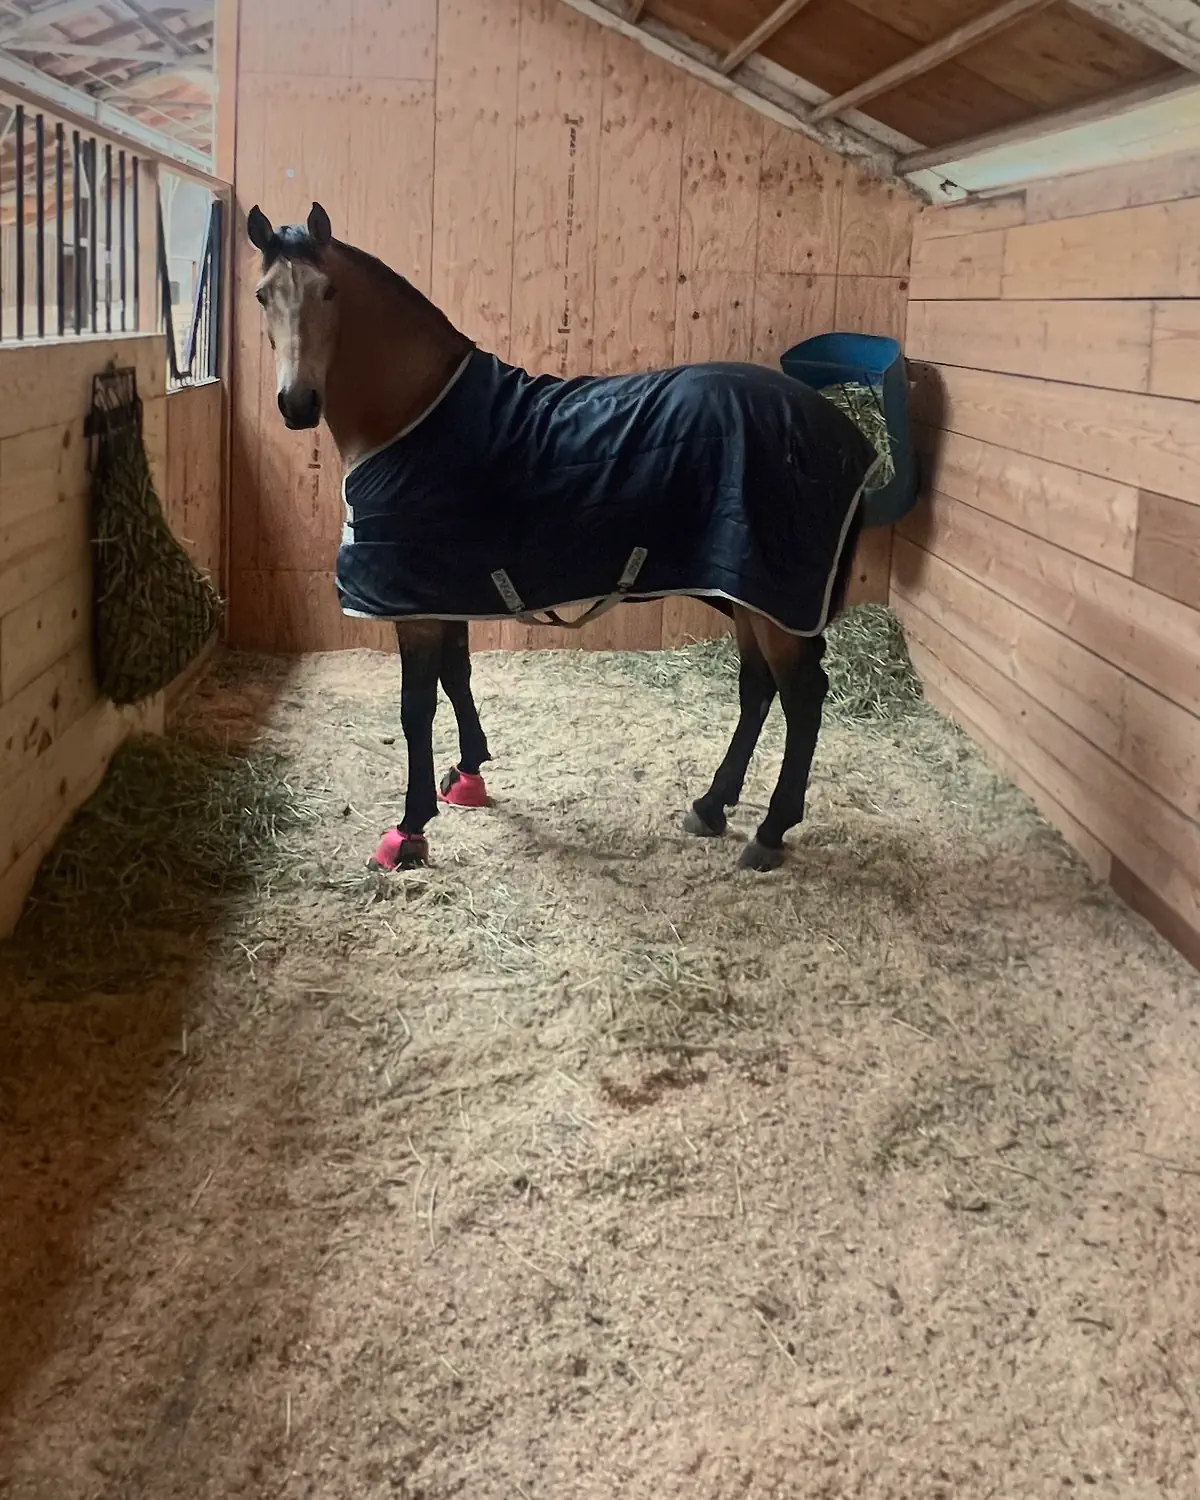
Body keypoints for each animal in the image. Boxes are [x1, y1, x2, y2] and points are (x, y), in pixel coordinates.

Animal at [247, 202, 880, 874]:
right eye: (263, 295)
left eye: (328, 291)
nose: (297, 403)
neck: (416, 413)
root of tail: (848, 436)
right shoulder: (446, 589)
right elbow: (457, 676)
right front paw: (468, 772)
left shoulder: (413, 603)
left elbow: (416, 706)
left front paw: (410, 828)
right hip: (743, 595)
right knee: (758, 689)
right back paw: (712, 805)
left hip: (773, 603)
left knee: (803, 698)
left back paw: (771, 830)